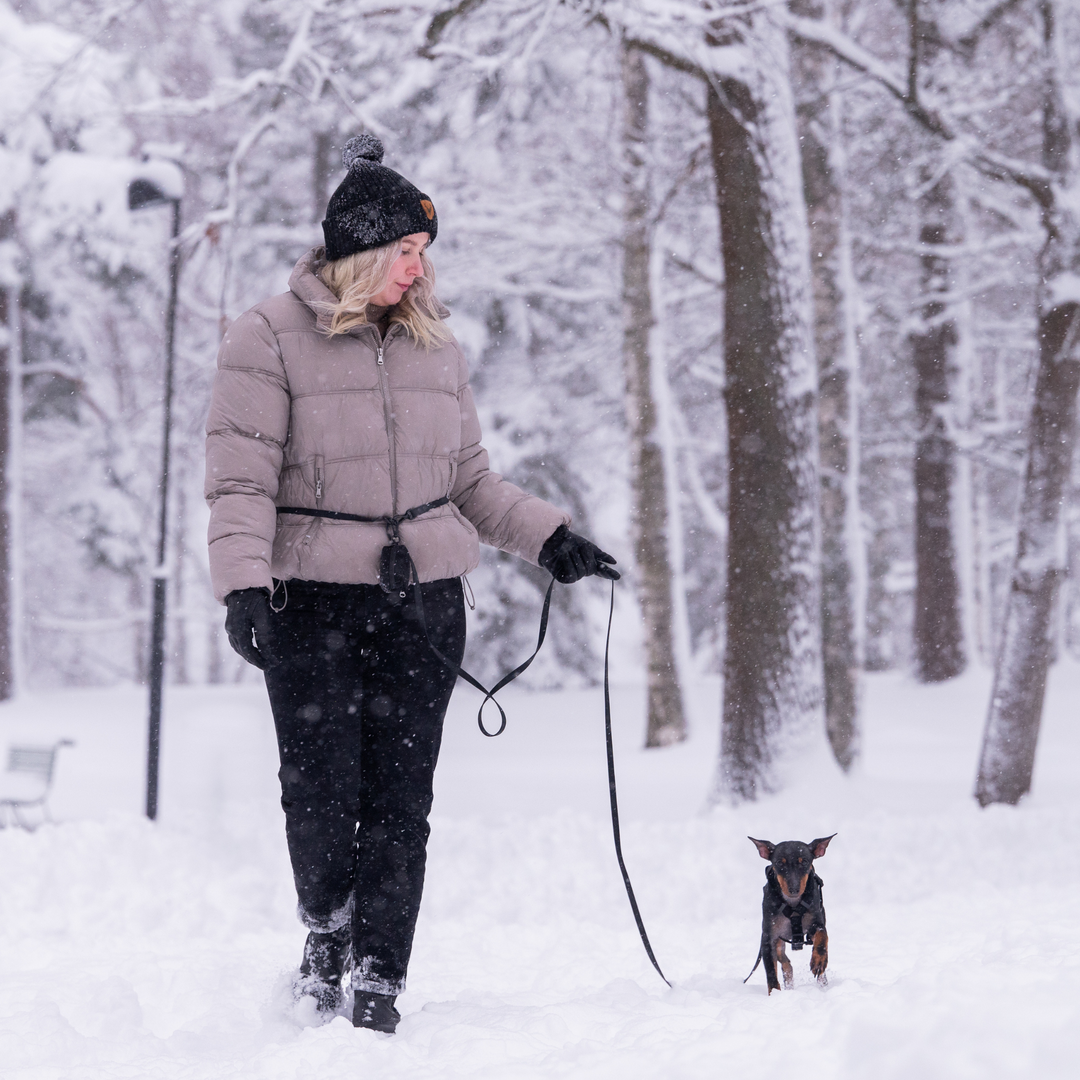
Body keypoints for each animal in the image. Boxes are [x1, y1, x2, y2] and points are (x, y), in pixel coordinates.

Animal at [743, 833, 833, 993]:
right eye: (780, 862)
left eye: (804, 862)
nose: (794, 889)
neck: (793, 905)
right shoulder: (768, 937)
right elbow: (771, 972)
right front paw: (775, 994)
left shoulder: (815, 923)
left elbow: (822, 936)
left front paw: (819, 961)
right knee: (784, 961)